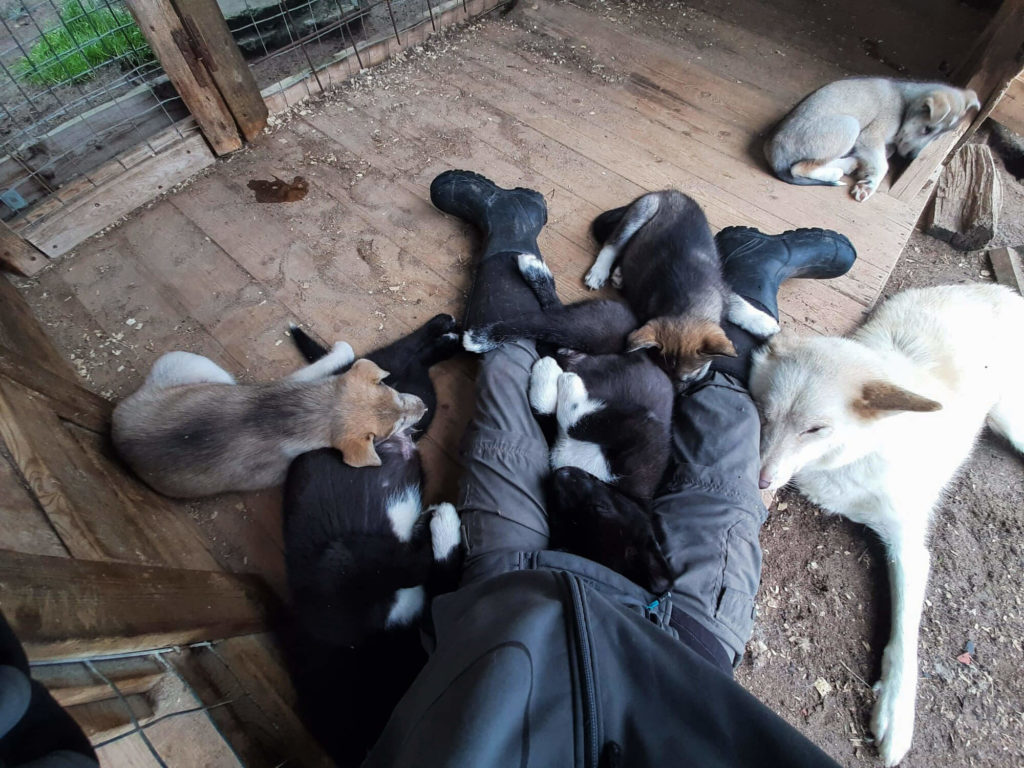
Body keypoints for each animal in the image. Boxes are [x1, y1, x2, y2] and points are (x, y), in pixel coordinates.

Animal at [113, 342, 428, 499]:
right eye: (395, 427)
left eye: (393, 392)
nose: (424, 407)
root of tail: (115, 432)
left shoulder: (293, 384)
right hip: (205, 367)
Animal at [278, 313, 458, 768]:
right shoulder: (345, 563)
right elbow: (423, 568)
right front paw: (442, 525)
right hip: (415, 400)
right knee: (406, 360)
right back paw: (448, 336)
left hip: (405, 395)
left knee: (398, 356)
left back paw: (446, 331)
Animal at [585, 191, 774, 382]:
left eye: (693, 375)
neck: (687, 302)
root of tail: (665, 192)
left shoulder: (722, 288)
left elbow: (739, 305)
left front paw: (765, 324)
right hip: (641, 212)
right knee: (612, 245)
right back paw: (599, 272)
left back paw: (618, 275)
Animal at [749, 286, 1024, 765]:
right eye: (764, 414)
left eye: (815, 429)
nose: (761, 481)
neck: (855, 456)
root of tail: (1001, 291)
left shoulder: (909, 548)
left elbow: (905, 636)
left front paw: (896, 709)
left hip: (1012, 420)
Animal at [765, 78, 978, 201]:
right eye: (928, 129)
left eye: (937, 137)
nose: (911, 158)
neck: (906, 103)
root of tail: (775, 152)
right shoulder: (870, 137)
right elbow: (883, 165)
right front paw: (869, 186)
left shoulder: (883, 144)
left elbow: (884, 155)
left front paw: (866, 174)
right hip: (850, 125)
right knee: (799, 168)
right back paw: (837, 171)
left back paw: (849, 164)